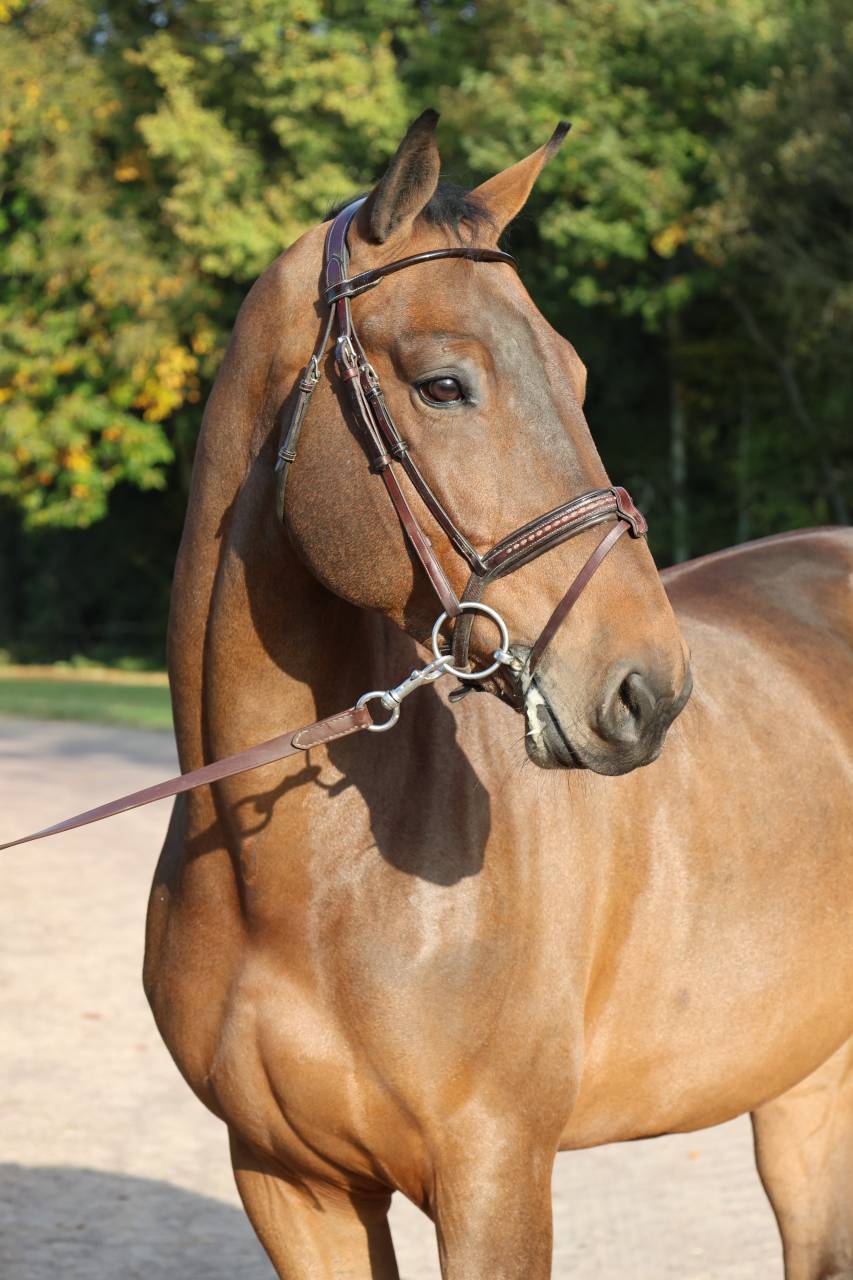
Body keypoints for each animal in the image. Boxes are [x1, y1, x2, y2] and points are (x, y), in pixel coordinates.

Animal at [144, 110, 853, 1279]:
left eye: (572, 370)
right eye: (443, 384)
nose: (647, 689)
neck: (302, 887)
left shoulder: (494, 1177)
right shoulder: (291, 1186)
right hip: (803, 1084)